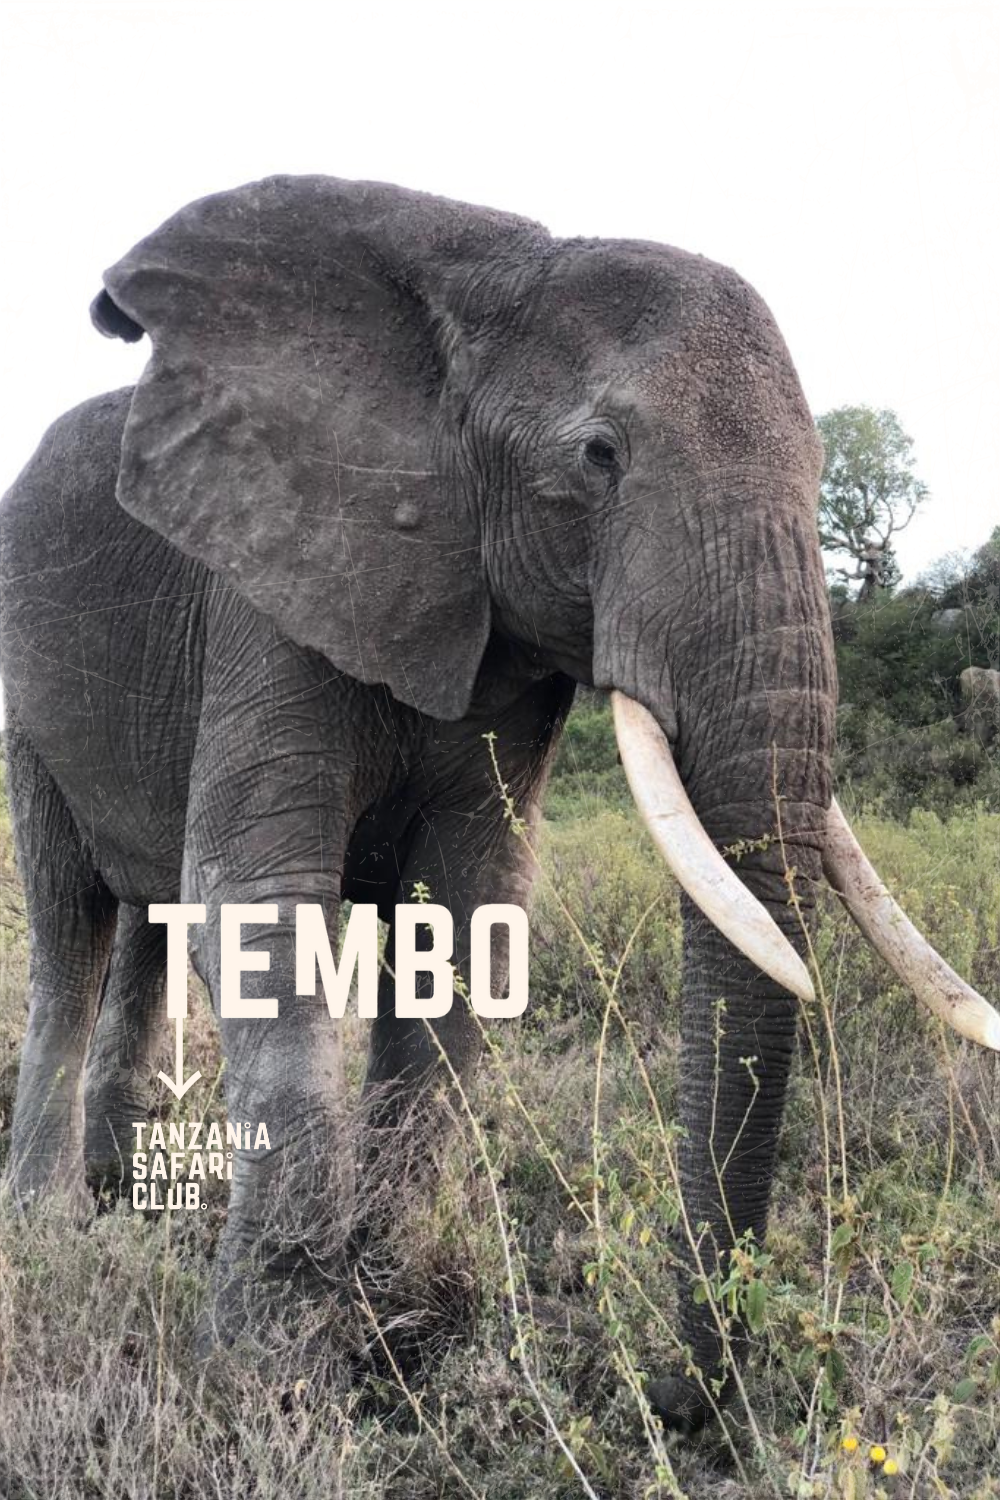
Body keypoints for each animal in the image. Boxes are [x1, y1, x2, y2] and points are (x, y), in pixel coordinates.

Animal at [2, 174, 997, 1434]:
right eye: (599, 455)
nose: (679, 1401)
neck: (486, 280)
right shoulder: (266, 593)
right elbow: (254, 900)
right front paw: (269, 1379)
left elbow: (470, 919)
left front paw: (393, 1326)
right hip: (25, 692)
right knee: (69, 920)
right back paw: (49, 1226)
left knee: (139, 914)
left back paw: (119, 1194)